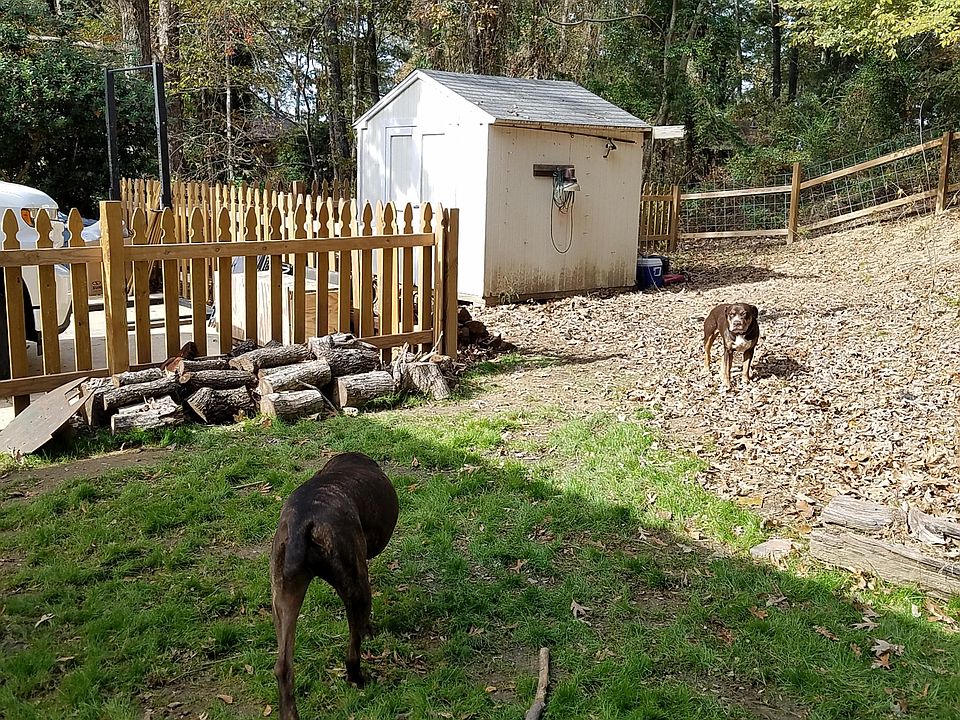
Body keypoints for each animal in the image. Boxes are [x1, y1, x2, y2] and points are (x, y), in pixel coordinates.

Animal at [271, 452, 399, 719]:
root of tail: (303, 523)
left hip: (283, 599)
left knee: (283, 667)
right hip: (357, 588)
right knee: (352, 651)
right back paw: (358, 679)